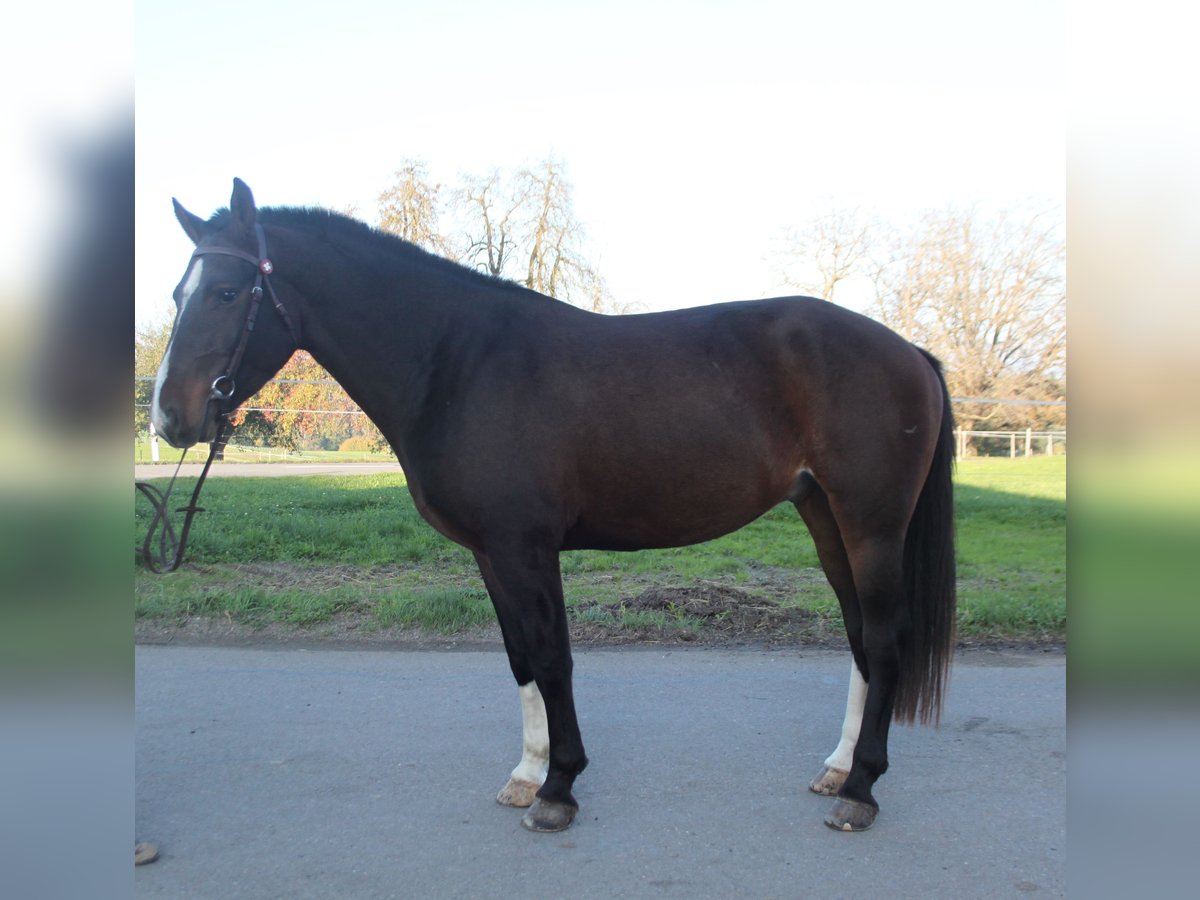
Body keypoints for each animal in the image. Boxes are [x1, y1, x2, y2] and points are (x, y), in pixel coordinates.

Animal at [152, 180, 955, 835]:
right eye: (179, 294)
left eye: (228, 293)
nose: (168, 417)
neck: (458, 363)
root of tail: (911, 352)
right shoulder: (491, 553)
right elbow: (520, 658)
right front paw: (528, 773)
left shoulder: (526, 547)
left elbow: (553, 658)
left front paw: (560, 789)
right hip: (826, 519)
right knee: (859, 636)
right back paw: (838, 769)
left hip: (872, 525)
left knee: (885, 639)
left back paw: (861, 791)